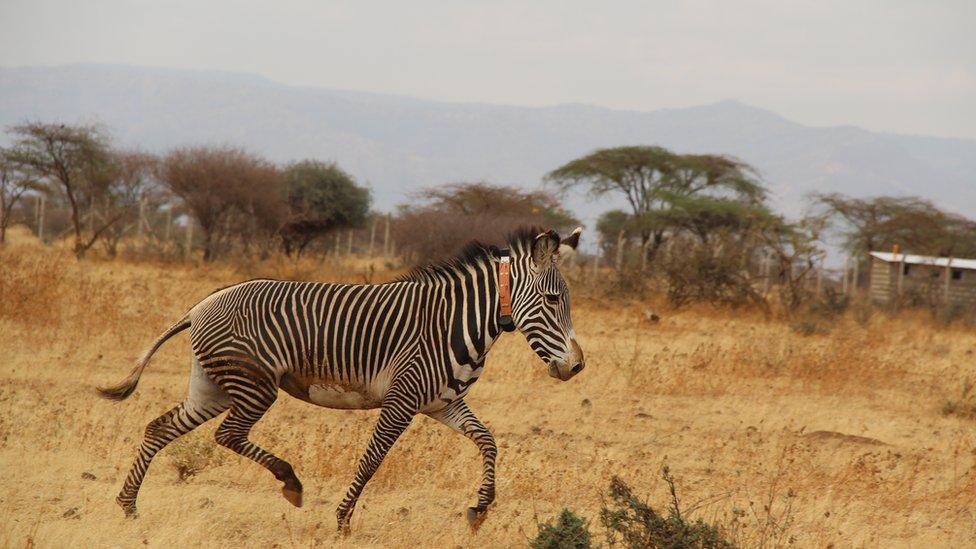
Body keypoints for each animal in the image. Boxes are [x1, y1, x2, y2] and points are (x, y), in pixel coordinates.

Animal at [97, 225, 588, 532]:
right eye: (552, 299)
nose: (577, 367)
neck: (459, 322)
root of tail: (202, 304)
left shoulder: (443, 402)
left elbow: (488, 441)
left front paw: (480, 510)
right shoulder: (403, 399)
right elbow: (372, 460)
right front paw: (343, 519)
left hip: (212, 385)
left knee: (160, 428)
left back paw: (128, 506)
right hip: (254, 385)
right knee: (227, 434)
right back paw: (291, 483)